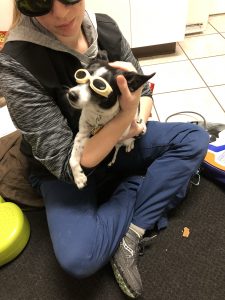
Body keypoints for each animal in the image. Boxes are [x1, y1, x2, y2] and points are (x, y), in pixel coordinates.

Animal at [67, 56, 155, 188]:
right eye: (81, 75)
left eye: (100, 87)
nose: (71, 94)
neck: (98, 112)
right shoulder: (82, 134)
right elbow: (72, 159)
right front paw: (78, 177)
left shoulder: (124, 129)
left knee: (126, 141)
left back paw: (130, 143)